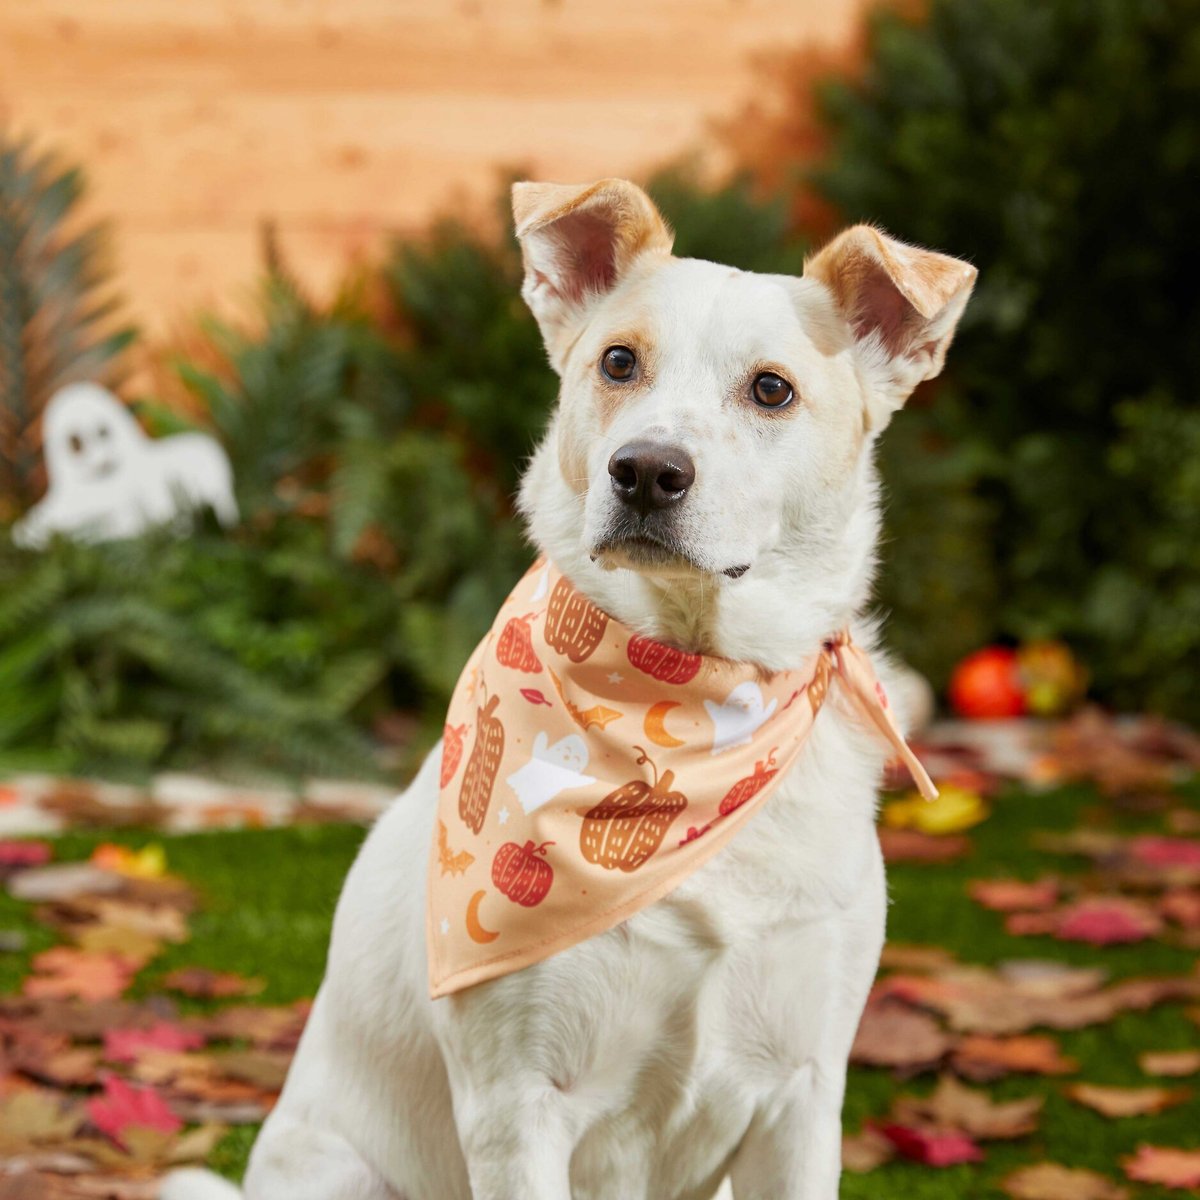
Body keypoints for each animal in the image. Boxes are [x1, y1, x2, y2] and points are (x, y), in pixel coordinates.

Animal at [166, 177, 974, 1200]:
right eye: (618, 361)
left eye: (772, 389)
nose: (648, 470)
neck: (688, 706)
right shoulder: (516, 1104)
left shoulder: (800, 1095)